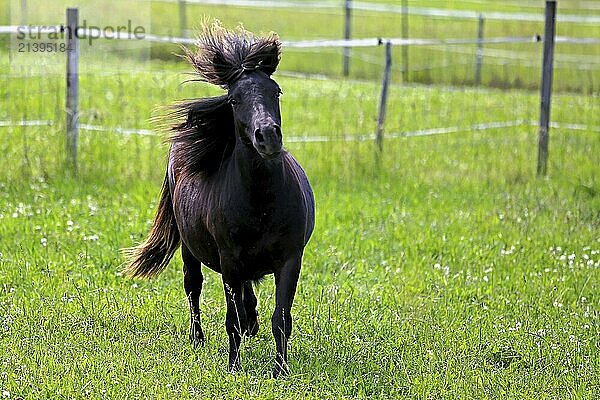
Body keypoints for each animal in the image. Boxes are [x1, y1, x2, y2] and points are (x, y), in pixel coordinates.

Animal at [125, 22, 316, 378]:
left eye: (276, 91)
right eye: (234, 99)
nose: (268, 137)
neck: (261, 203)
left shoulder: (289, 259)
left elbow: (280, 319)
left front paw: (280, 370)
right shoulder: (229, 261)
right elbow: (231, 318)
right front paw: (234, 367)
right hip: (189, 250)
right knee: (194, 287)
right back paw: (197, 338)